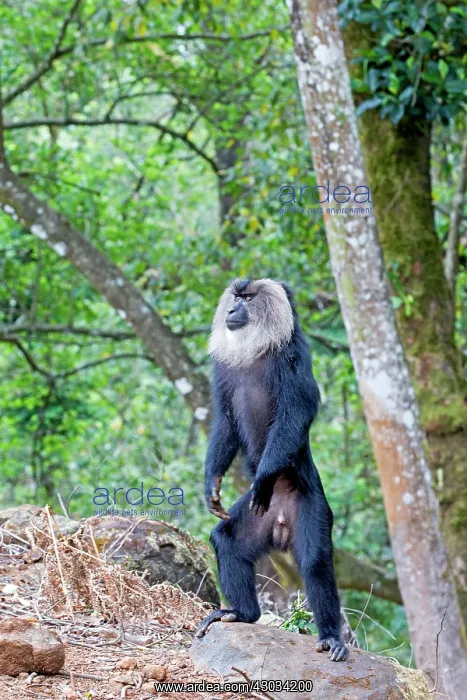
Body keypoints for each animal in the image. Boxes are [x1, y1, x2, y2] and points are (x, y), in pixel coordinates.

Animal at [195, 278, 349, 662]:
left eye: (248, 299)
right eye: (236, 298)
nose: (232, 309)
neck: (256, 349)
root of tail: (279, 521)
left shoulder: (292, 358)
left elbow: (294, 415)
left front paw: (263, 478)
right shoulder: (223, 373)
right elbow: (226, 422)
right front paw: (211, 487)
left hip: (311, 508)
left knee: (315, 562)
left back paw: (331, 637)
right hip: (257, 518)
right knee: (227, 540)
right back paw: (241, 613)